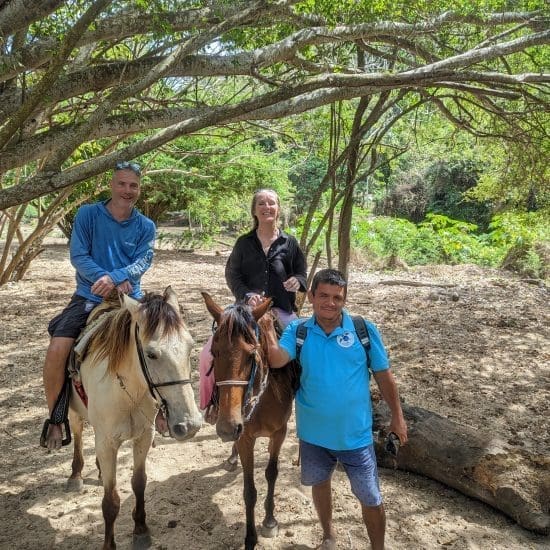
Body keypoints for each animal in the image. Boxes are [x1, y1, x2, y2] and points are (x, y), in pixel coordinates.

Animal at [66, 288, 202, 550]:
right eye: (151, 354)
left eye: (190, 346)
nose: (189, 425)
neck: (128, 391)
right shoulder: (107, 443)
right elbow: (110, 501)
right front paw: (109, 545)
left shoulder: (143, 436)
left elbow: (139, 482)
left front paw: (140, 529)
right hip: (74, 412)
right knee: (77, 433)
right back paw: (76, 475)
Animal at [202, 296, 300, 550]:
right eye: (214, 352)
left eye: (251, 354)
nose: (227, 427)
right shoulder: (245, 437)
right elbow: (249, 491)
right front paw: (250, 538)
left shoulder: (279, 433)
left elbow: (271, 473)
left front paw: (270, 520)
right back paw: (231, 457)